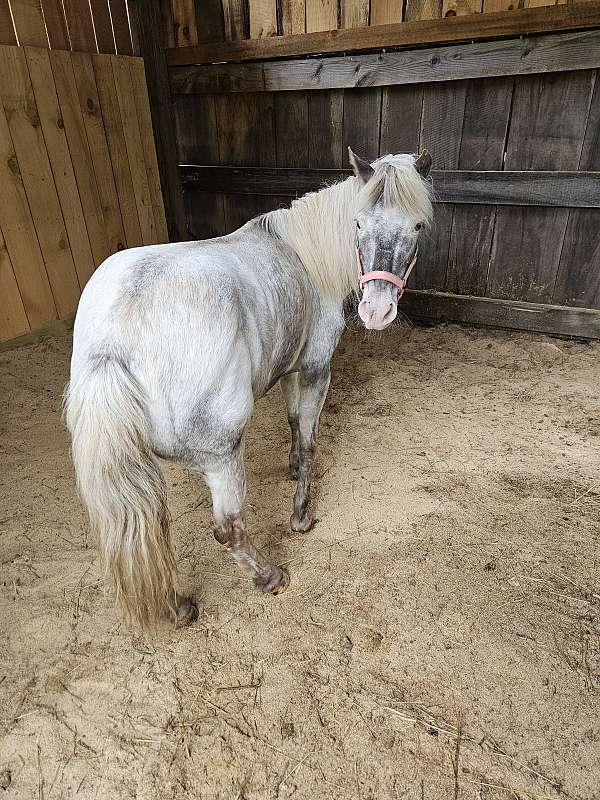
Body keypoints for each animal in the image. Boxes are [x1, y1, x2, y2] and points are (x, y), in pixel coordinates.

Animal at [64, 147, 432, 628]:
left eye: (417, 225)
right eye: (357, 223)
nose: (377, 310)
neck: (305, 256)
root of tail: (115, 337)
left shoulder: (292, 369)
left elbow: (293, 421)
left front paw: (291, 467)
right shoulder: (316, 369)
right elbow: (309, 440)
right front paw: (300, 515)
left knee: (144, 528)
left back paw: (176, 607)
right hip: (222, 458)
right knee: (227, 528)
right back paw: (268, 577)